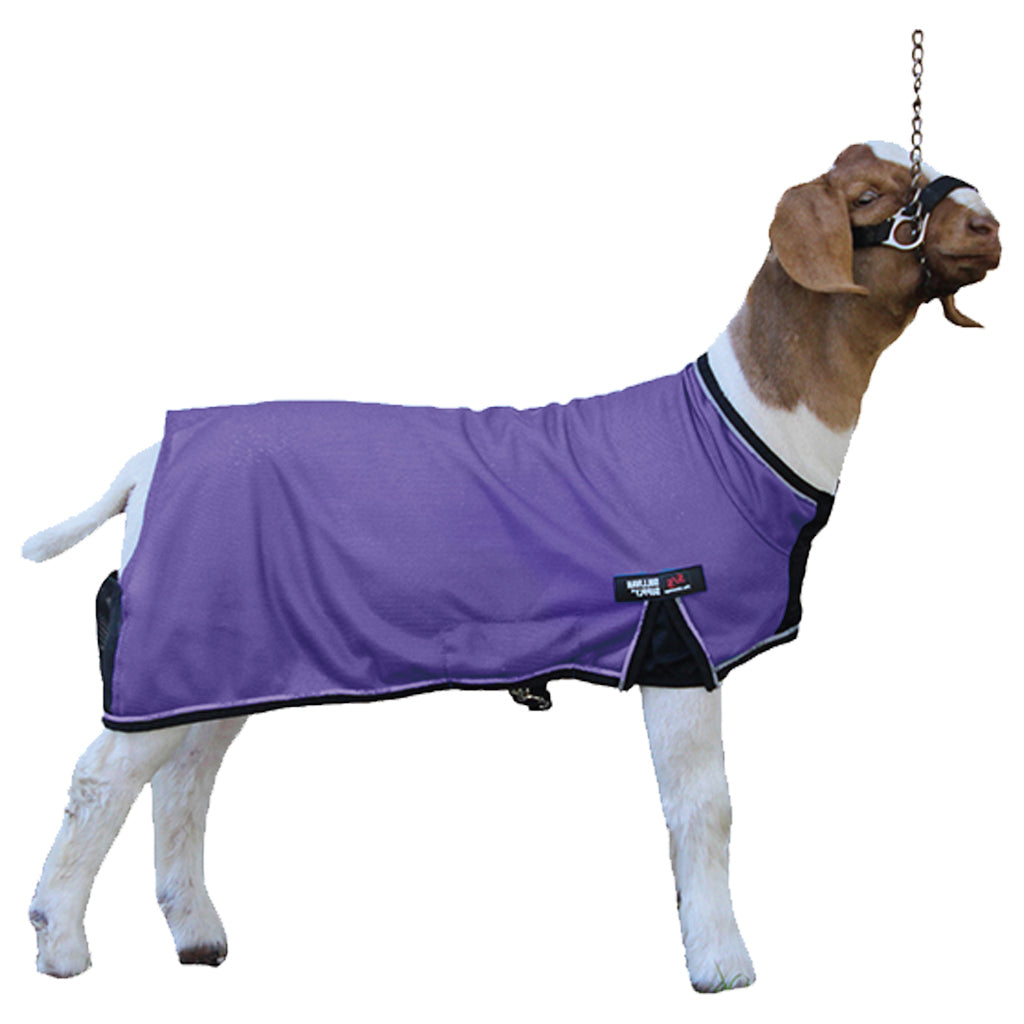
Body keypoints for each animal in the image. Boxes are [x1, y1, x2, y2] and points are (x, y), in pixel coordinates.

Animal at [23, 141, 1000, 991]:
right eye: (869, 197)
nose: (988, 224)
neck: (743, 430)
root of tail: (147, 461)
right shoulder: (676, 635)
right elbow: (706, 806)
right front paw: (722, 963)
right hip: (175, 635)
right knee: (101, 779)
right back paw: (60, 940)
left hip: (223, 646)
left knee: (184, 778)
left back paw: (195, 933)